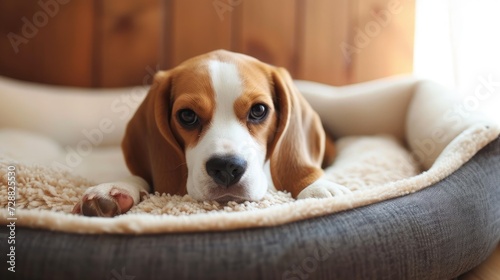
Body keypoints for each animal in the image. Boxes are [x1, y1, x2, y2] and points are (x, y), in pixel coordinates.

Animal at [72, 49, 350, 217]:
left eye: (259, 110)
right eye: (187, 115)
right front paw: (117, 187)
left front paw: (316, 186)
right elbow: (142, 177)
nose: (226, 167)